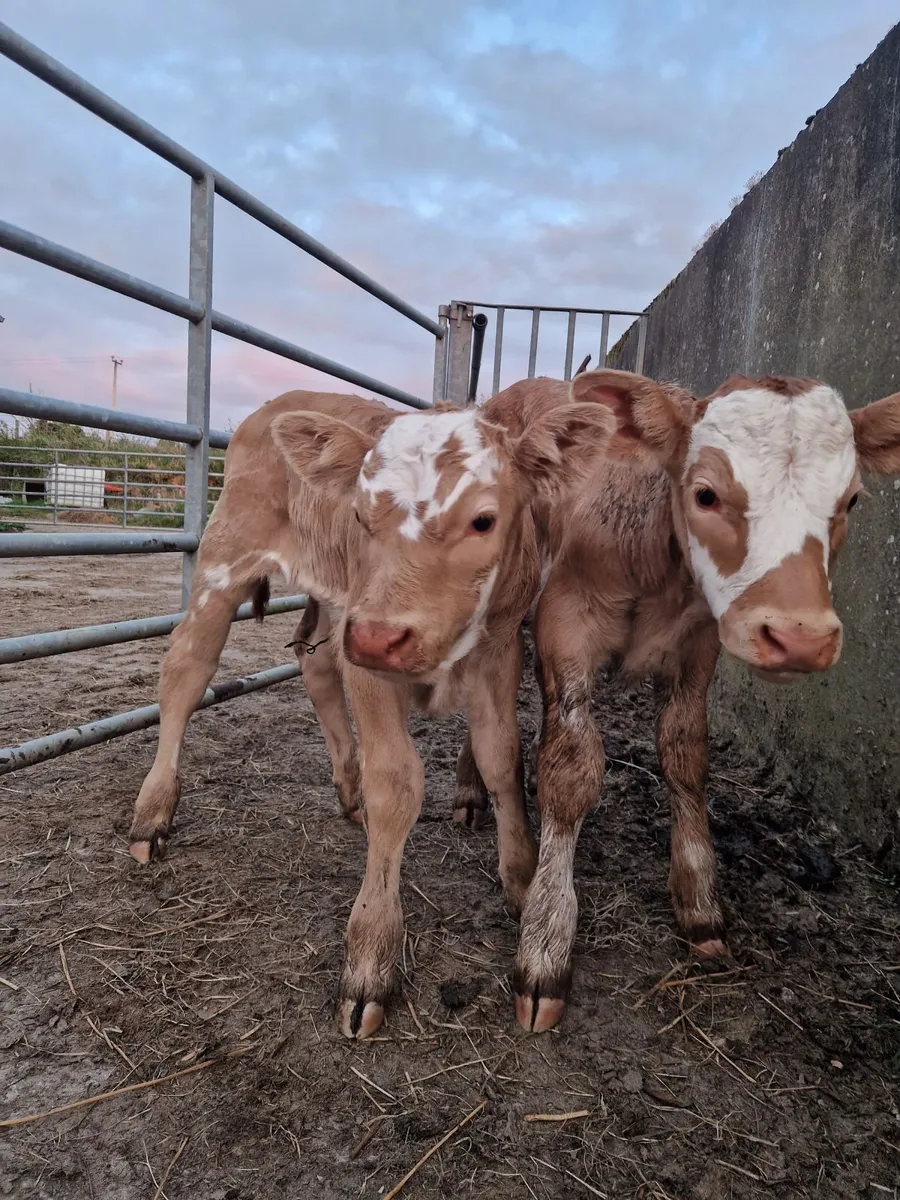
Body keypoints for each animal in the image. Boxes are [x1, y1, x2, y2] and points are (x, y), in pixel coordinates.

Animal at [127, 385, 622, 1038]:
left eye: (483, 520)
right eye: (361, 517)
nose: (378, 637)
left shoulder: (498, 649)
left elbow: (500, 757)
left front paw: (520, 879)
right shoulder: (367, 662)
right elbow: (396, 784)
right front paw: (370, 956)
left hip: (329, 604)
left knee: (313, 661)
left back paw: (348, 790)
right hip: (225, 560)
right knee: (186, 670)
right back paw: (152, 813)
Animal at [451, 369, 900, 1034]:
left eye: (851, 501)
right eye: (706, 494)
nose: (800, 638)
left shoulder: (699, 643)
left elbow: (686, 755)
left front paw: (699, 902)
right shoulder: (566, 625)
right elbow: (571, 770)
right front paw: (545, 943)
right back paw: (469, 790)